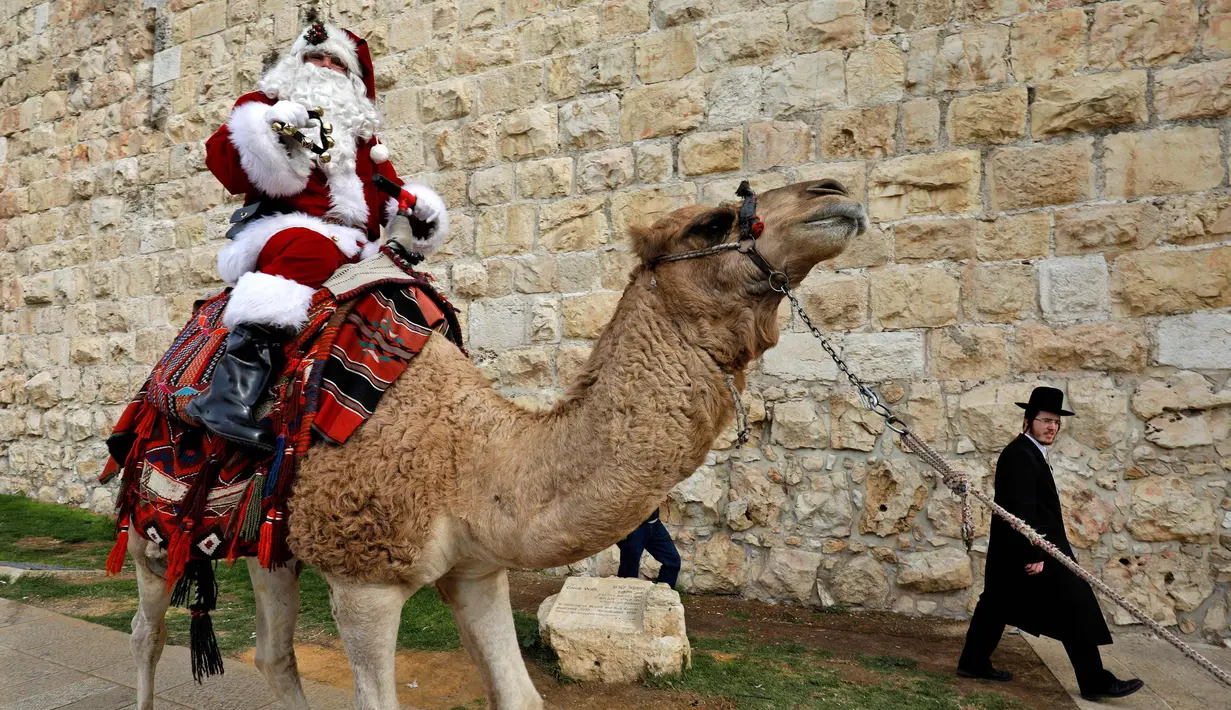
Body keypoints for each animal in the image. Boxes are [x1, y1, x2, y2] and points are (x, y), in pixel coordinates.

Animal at [120, 178, 861, 708]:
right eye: (712, 222)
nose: (834, 194)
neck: (469, 455)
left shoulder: (477, 569)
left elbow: (520, 696)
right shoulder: (365, 581)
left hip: (269, 532)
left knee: (274, 654)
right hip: (150, 517)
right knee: (147, 632)